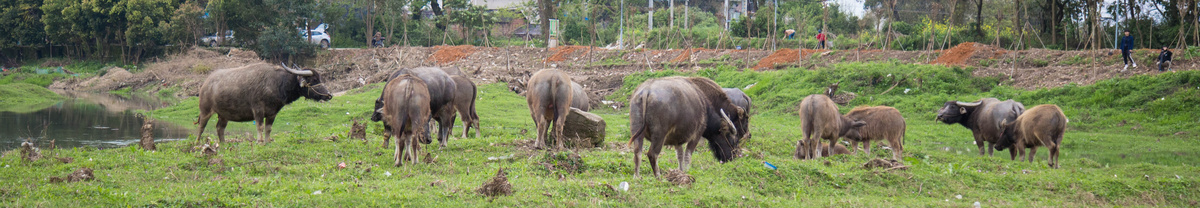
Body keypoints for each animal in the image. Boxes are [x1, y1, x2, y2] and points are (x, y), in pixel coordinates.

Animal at [195, 62, 331, 144]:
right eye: (314, 80)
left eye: (319, 78)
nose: (329, 95)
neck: (276, 83)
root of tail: (205, 84)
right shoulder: (258, 110)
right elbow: (260, 126)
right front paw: (259, 142)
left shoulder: (272, 113)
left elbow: (268, 128)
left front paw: (267, 142)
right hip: (205, 110)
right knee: (201, 127)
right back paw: (197, 142)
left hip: (224, 115)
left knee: (220, 128)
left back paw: (223, 144)